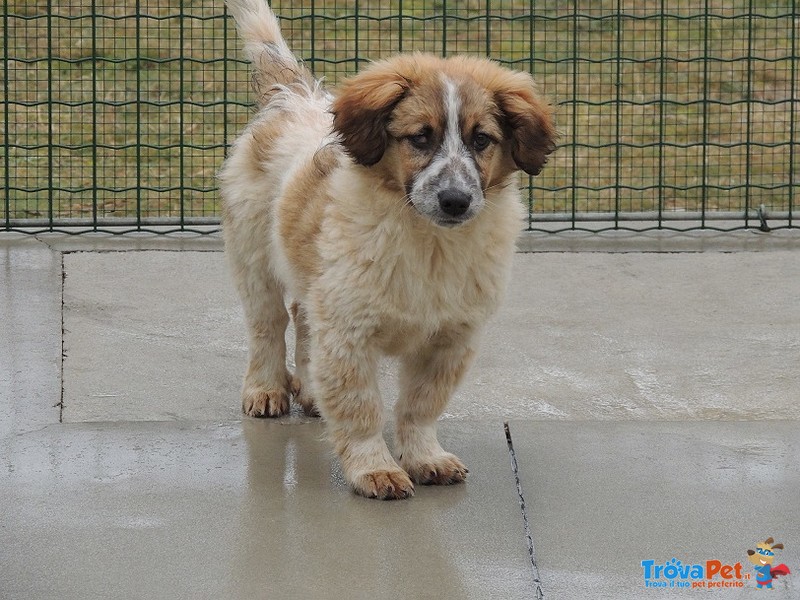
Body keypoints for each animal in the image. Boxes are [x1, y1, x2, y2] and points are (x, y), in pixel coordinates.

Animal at [219, 0, 556, 500]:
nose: (455, 200)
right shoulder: (349, 331)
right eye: (420, 137)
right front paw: (373, 468)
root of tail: (294, 97)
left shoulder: (451, 340)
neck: (429, 243)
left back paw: (311, 391)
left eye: (481, 140)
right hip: (254, 258)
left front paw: (424, 457)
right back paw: (265, 389)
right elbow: (361, 410)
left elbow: (421, 405)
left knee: (303, 321)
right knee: (268, 325)